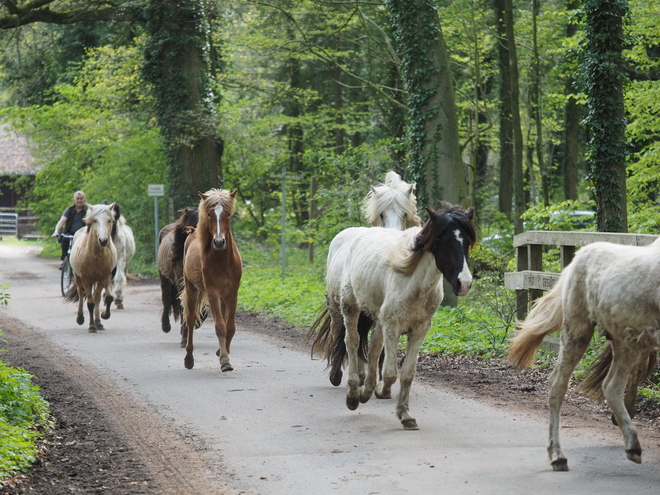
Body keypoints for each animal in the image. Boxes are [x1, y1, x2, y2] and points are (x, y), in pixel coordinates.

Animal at [65, 203, 118, 336]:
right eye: (95, 220)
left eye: (109, 220)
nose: (103, 240)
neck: (96, 256)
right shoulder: (86, 279)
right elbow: (90, 303)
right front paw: (91, 326)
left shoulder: (105, 278)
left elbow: (107, 298)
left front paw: (104, 316)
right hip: (78, 278)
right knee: (81, 293)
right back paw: (80, 318)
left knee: (97, 298)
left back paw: (99, 322)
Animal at [180, 190, 242, 372]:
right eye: (209, 214)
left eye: (228, 214)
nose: (219, 242)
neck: (222, 261)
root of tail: (192, 232)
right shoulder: (213, 292)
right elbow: (220, 326)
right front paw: (225, 361)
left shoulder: (232, 293)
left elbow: (230, 327)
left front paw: (223, 352)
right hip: (192, 289)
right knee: (191, 320)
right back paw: (189, 359)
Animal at [324, 204, 474, 430]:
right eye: (443, 240)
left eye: (467, 242)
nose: (463, 283)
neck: (415, 284)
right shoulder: (392, 325)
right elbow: (390, 373)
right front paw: (381, 393)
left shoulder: (420, 329)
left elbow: (407, 373)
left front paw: (405, 414)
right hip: (346, 307)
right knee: (349, 341)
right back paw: (350, 391)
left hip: (375, 317)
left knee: (373, 346)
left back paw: (365, 389)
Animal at [508, 240, 660, 472]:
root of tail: (575, 261)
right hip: (577, 332)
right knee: (558, 385)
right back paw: (557, 457)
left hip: (627, 342)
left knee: (611, 386)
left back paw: (633, 447)